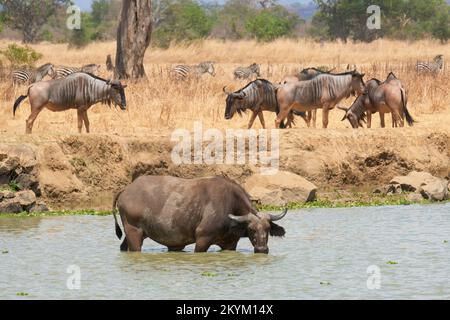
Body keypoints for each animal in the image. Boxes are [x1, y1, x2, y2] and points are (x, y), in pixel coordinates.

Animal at [112, 175, 288, 255]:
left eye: (267, 229)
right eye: (251, 229)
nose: (262, 249)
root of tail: (127, 189)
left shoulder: (230, 244)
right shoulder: (202, 239)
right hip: (134, 232)